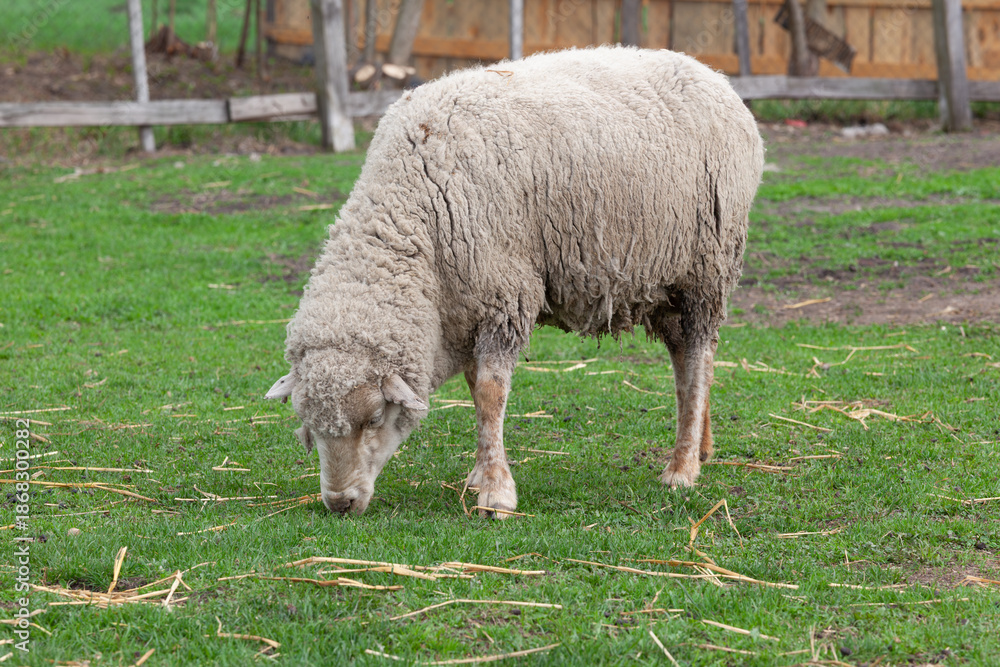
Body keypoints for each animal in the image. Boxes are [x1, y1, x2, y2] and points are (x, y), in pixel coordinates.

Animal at [266, 45, 764, 517]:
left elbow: (490, 393)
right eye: (308, 425)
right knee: (686, 359)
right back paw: (702, 447)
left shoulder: (503, 293)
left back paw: (682, 468)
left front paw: (495, 492)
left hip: (707, 268)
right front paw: (479, 473)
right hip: (664, 279)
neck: (417, 216)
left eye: (373, 418)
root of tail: (713, 76)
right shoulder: (466, 307)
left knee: (698, 359)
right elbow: (474, 388)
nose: (340, 502)